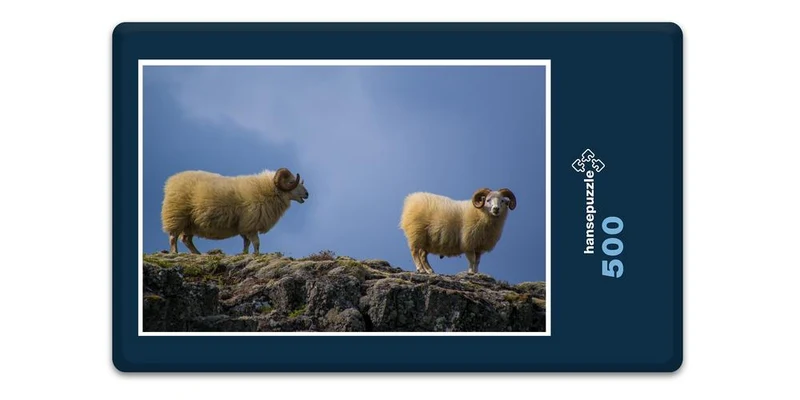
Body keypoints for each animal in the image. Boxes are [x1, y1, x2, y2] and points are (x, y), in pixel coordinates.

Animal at [160, 167, 309, 255]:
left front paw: (245, 254)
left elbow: (246, 243)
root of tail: (171, 181)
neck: (268, 190)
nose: (307, 194)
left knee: (186, 240)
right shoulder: (251, 225)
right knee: (173, 237)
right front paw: (256, 255)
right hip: (177, 216)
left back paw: (197, 254)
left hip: (190, 223)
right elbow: (256, 243)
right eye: (291, 182)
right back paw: (174, 253)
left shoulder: (244, 226)